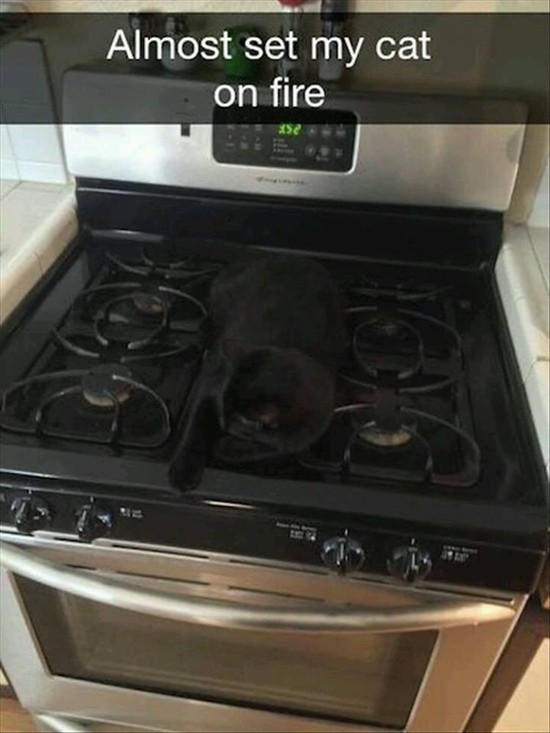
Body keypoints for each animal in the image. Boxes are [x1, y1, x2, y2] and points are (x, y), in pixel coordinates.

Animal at [170, 252, 348, 480]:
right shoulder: (211, 384)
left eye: (246, 421)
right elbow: (196, 425)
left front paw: (225, 447)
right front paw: (182, 472)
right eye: (222, 402)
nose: (223, 422)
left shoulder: (305, 432)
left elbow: (273, 447)